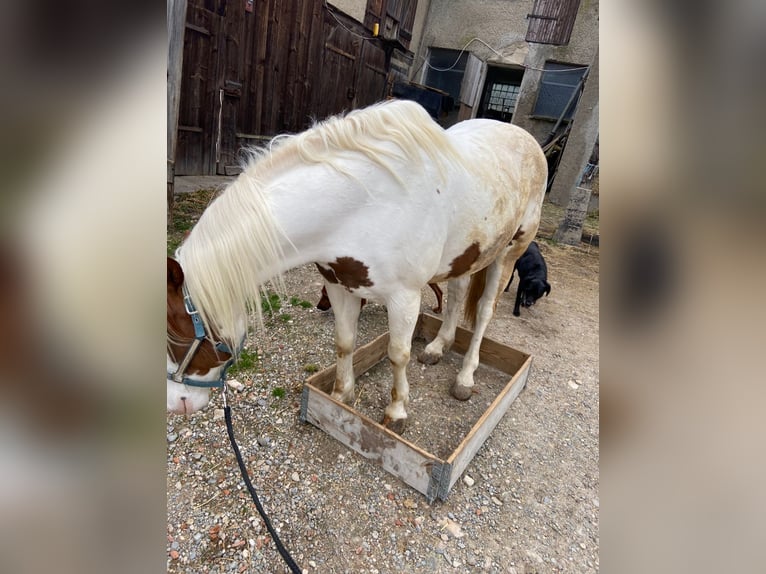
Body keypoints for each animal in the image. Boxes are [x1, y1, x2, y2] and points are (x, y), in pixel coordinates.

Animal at [167, 99, 547, 430]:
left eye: (174, 338)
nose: (177, 404)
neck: (366, 204)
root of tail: (525, 138)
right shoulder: (340, 286)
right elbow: (344, 341)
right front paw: (340, 396)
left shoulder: (405, 298)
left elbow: (398, 354)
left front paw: (396, 412)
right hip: (468, 255)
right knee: (455, 297)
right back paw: (438, 347)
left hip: (509, 253)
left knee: (483, 313)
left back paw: (465, 377)